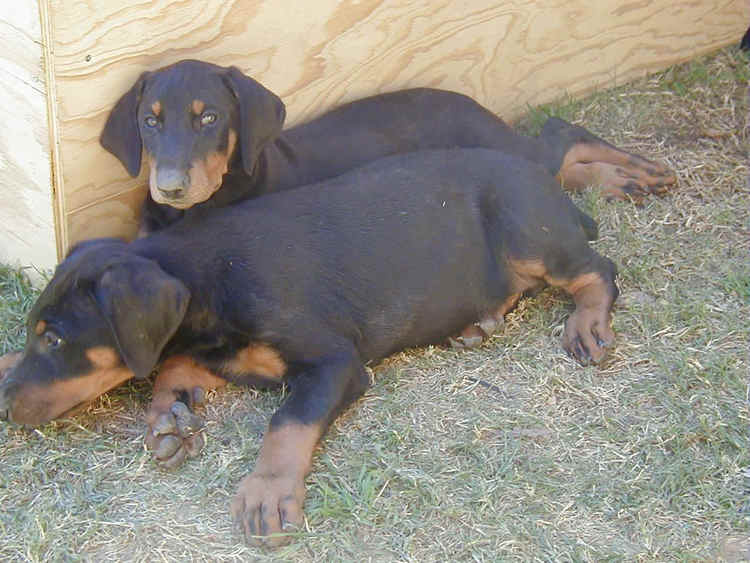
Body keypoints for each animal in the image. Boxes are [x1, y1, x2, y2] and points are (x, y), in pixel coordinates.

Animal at [0, 149, 620, 548]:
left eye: (53, 337)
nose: (3, 401)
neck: (209, 280)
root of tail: (548, 182)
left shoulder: (336, 363)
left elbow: (289, 421)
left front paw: (266, 492)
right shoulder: (226, 351)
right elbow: (174, 364)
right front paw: (168, 418)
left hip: (527, 229)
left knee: (597, 270)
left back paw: (587, 323)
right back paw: (478, 322)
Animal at [100, 57, 676, 234]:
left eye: (210, 117)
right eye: (149, 121)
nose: (170, 188)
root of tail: (467, 100)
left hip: (496, 142)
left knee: (564, 134)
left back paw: (633, 171)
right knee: (560, 163)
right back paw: (624, 179)